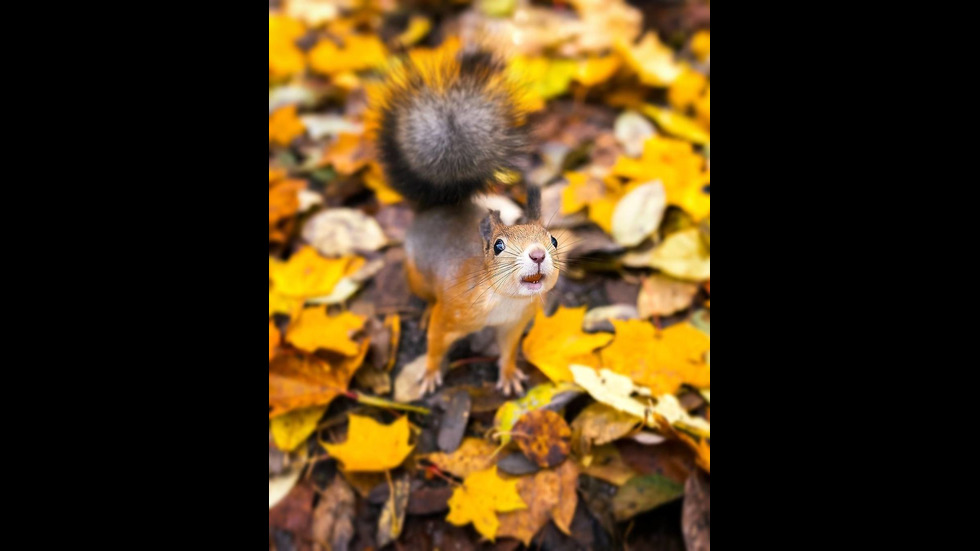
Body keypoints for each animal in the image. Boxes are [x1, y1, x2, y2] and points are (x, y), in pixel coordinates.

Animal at [374, 43, 564, 396]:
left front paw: (508, 375)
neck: (504, 301)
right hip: (416, 277)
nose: (537, 254)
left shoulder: (513, 325)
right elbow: (435, 343)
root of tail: (436, 208)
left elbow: (508, 351)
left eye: (554, 240)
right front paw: (430, 373)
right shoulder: (450, 313)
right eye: (498, 246)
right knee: (425, 298)